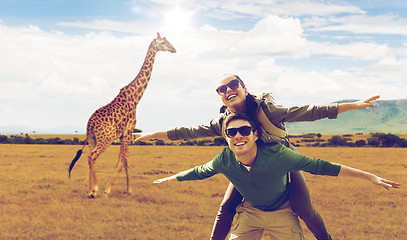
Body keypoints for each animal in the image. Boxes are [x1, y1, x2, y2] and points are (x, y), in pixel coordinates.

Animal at [69, 32, 177, 198]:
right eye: (163, 42)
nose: (174, 49)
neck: (136, 96)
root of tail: (89, 124)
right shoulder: (129, 130)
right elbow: (121, 161)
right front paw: (108, 189)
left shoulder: (123, 134)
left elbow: (126, 161)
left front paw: (129, 190)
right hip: (105, 139)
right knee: (92, 156)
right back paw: (95, 189)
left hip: (92, 138)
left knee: (89, 157)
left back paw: (89, 190)